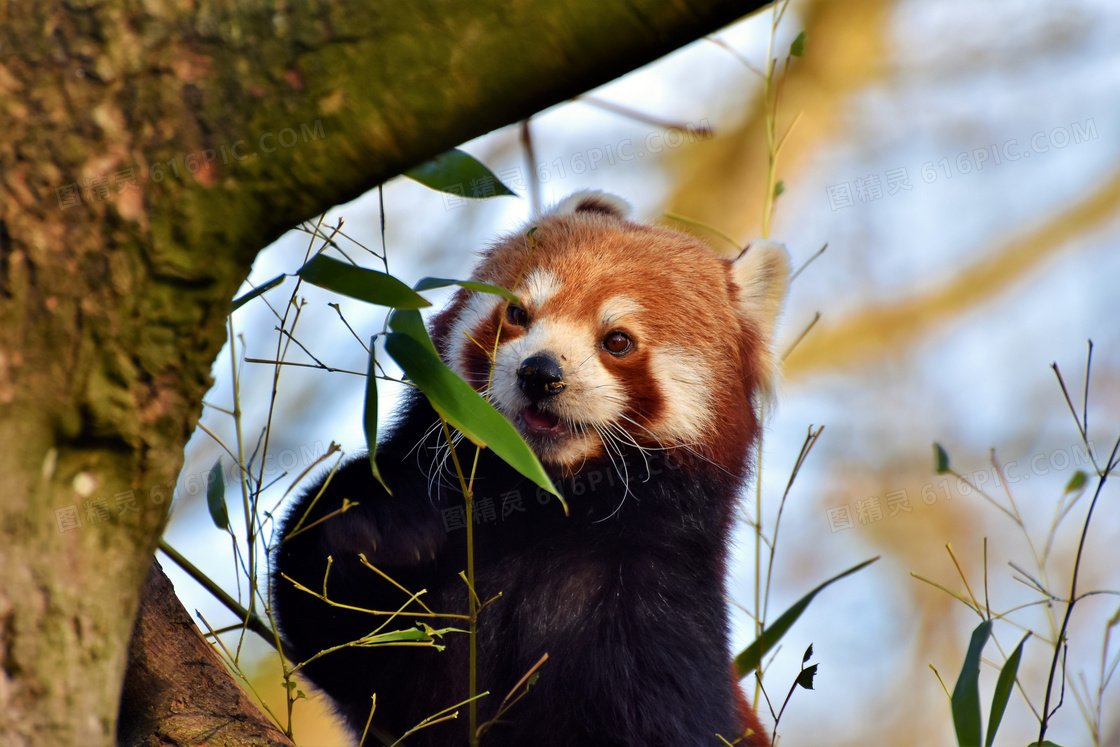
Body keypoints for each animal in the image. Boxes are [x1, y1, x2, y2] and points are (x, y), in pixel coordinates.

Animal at [275, 191, 792, 747]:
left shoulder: (663, 604)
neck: (544, 506)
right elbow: (337, 637)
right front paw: (379, 527)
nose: (540, 373)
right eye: (518, 313)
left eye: (617, 341)